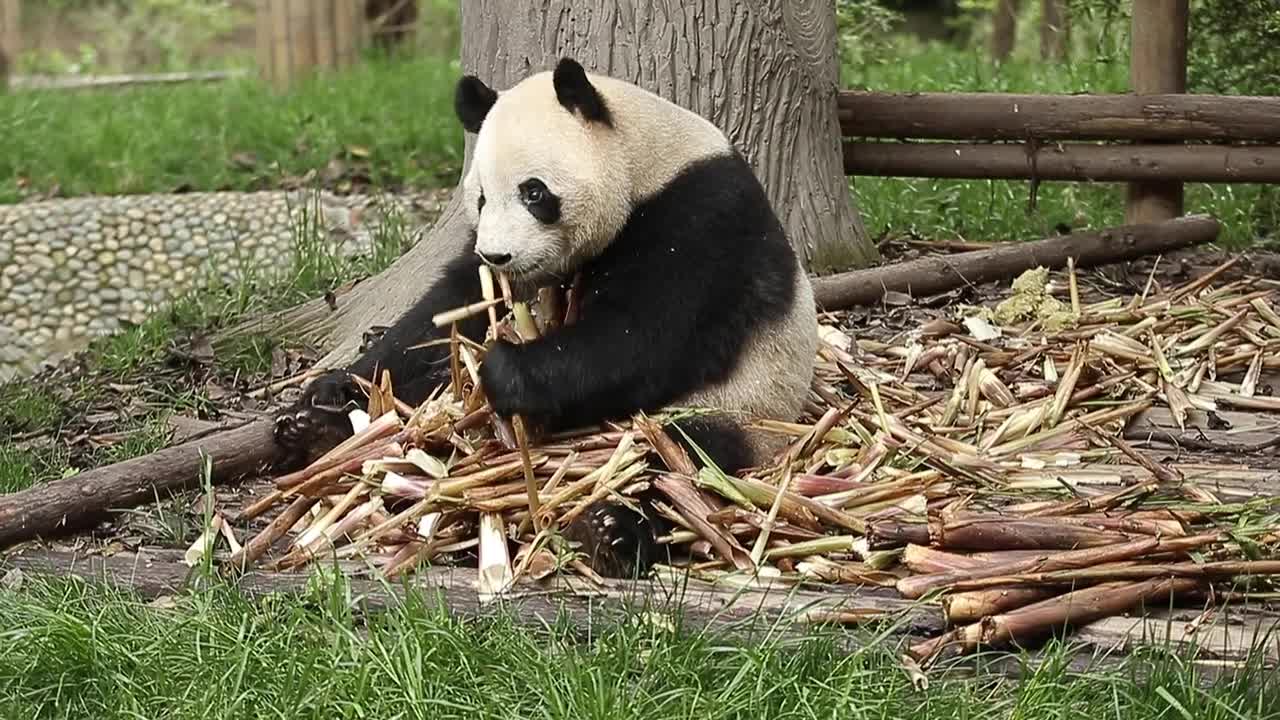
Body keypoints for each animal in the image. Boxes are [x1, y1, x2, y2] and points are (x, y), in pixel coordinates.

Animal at [279, 58, 819, 576]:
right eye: (480, 198)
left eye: (534, 193)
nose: (498, 255)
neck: (647, 161)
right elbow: (449, 309)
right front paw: (337, 385)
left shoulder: (702, 218)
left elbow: (647, 337)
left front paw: (506, 371)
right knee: (424, 406)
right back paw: (318, 429)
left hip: (745, 405)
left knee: (679, 459)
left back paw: (610, 530)